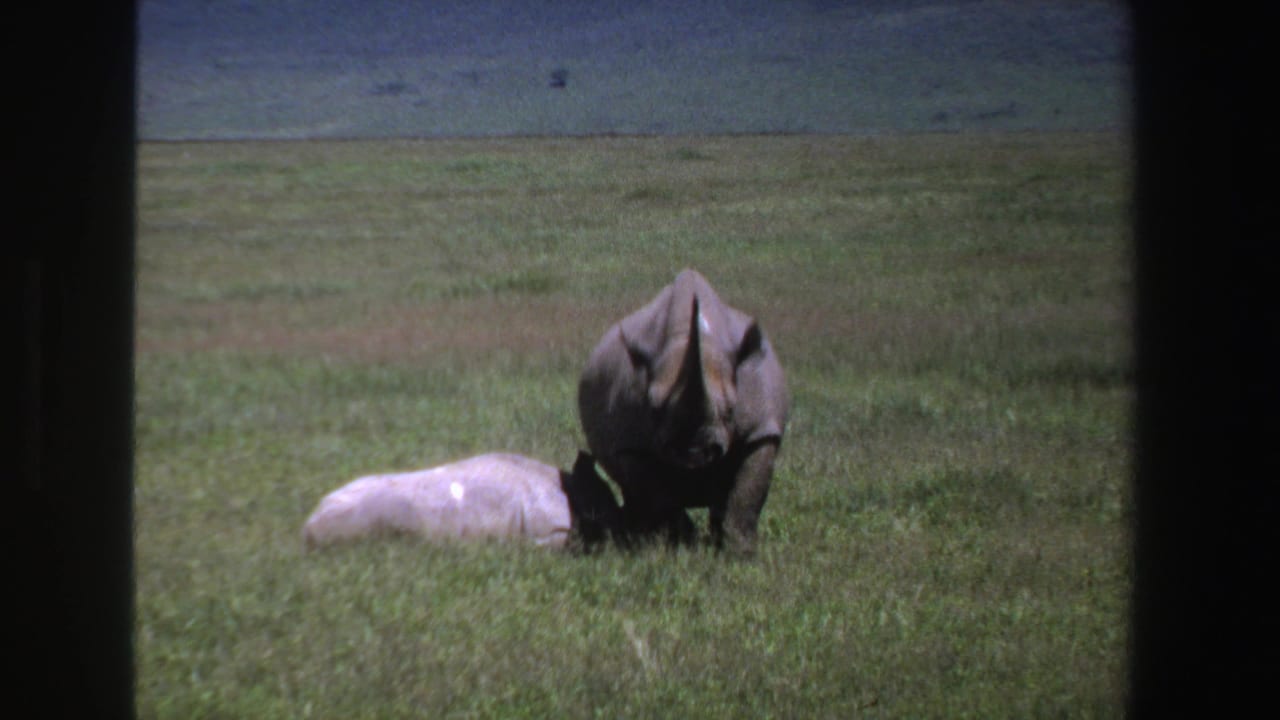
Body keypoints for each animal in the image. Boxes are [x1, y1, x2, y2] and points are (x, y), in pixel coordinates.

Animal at [578, 269, 788, 556]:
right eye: (654, 409)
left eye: (730, 410)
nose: (694, 453)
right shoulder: (630, 443)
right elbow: (657, 496)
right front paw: (681, 548)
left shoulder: (761, 429)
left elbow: (747, 493)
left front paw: (740, 553)